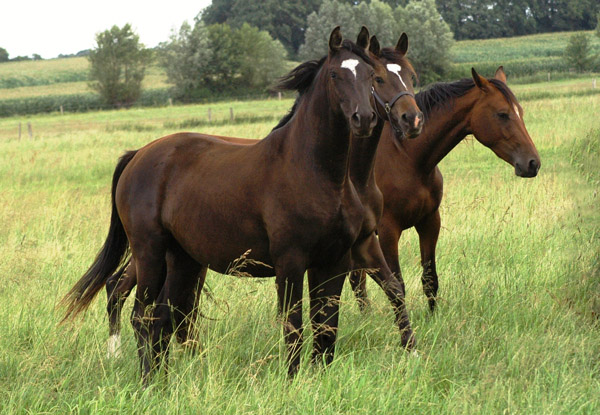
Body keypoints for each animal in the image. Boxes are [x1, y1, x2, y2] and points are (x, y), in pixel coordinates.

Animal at [350, 66, 540, 312]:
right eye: (502, 114)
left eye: (520, 112)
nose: (533, 163)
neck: (406, 157)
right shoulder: (388, 231)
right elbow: (397, 285)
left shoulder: (430, 222)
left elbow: (430, 280)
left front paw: (433, 318)